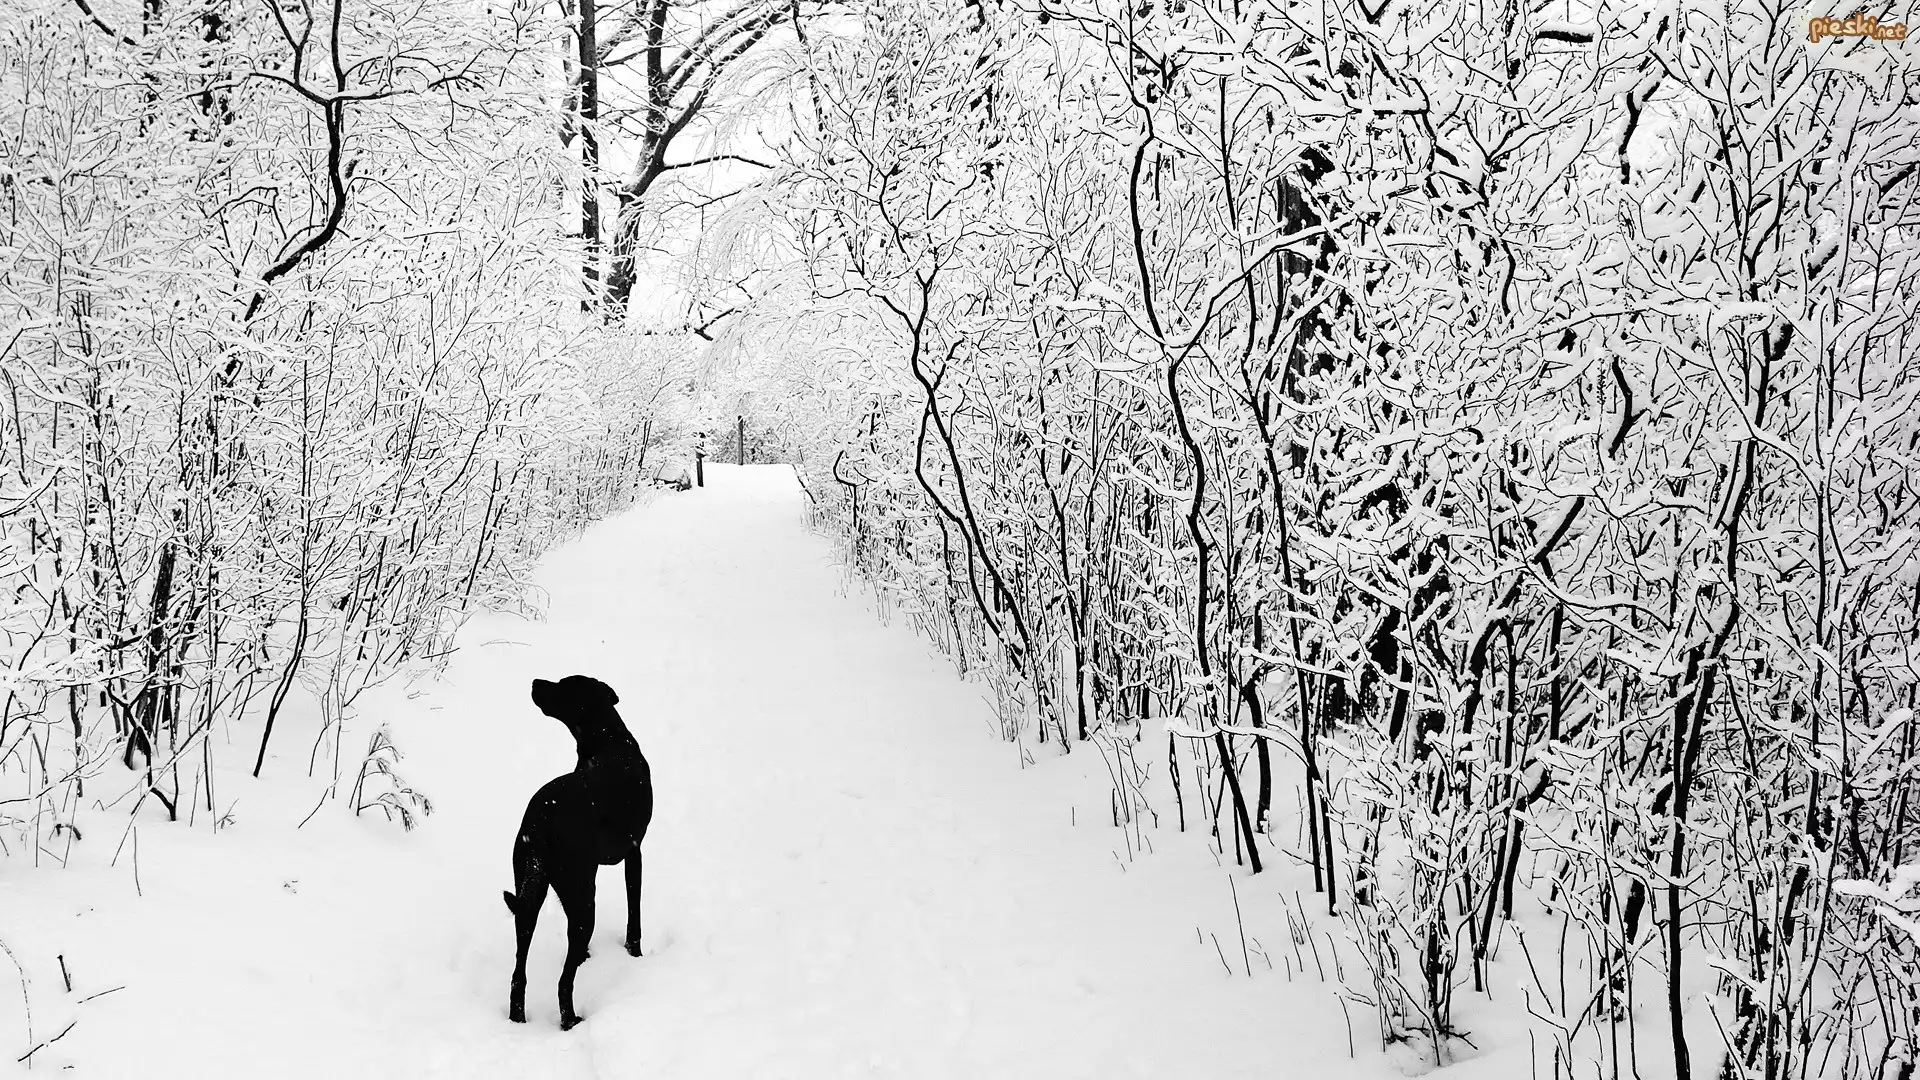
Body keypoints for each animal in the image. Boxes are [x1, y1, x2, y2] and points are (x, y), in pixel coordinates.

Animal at [503, 675, 654, 1029]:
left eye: (562, 684)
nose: (535, 681)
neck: (608, 740)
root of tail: (540, 819)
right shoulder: (635, 852)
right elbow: (635, 915)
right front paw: (635, 955)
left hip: (528, 892)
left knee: (519, 974)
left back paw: (518, 1018)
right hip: (583, 896)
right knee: (563, 982)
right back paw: (571, 1020)